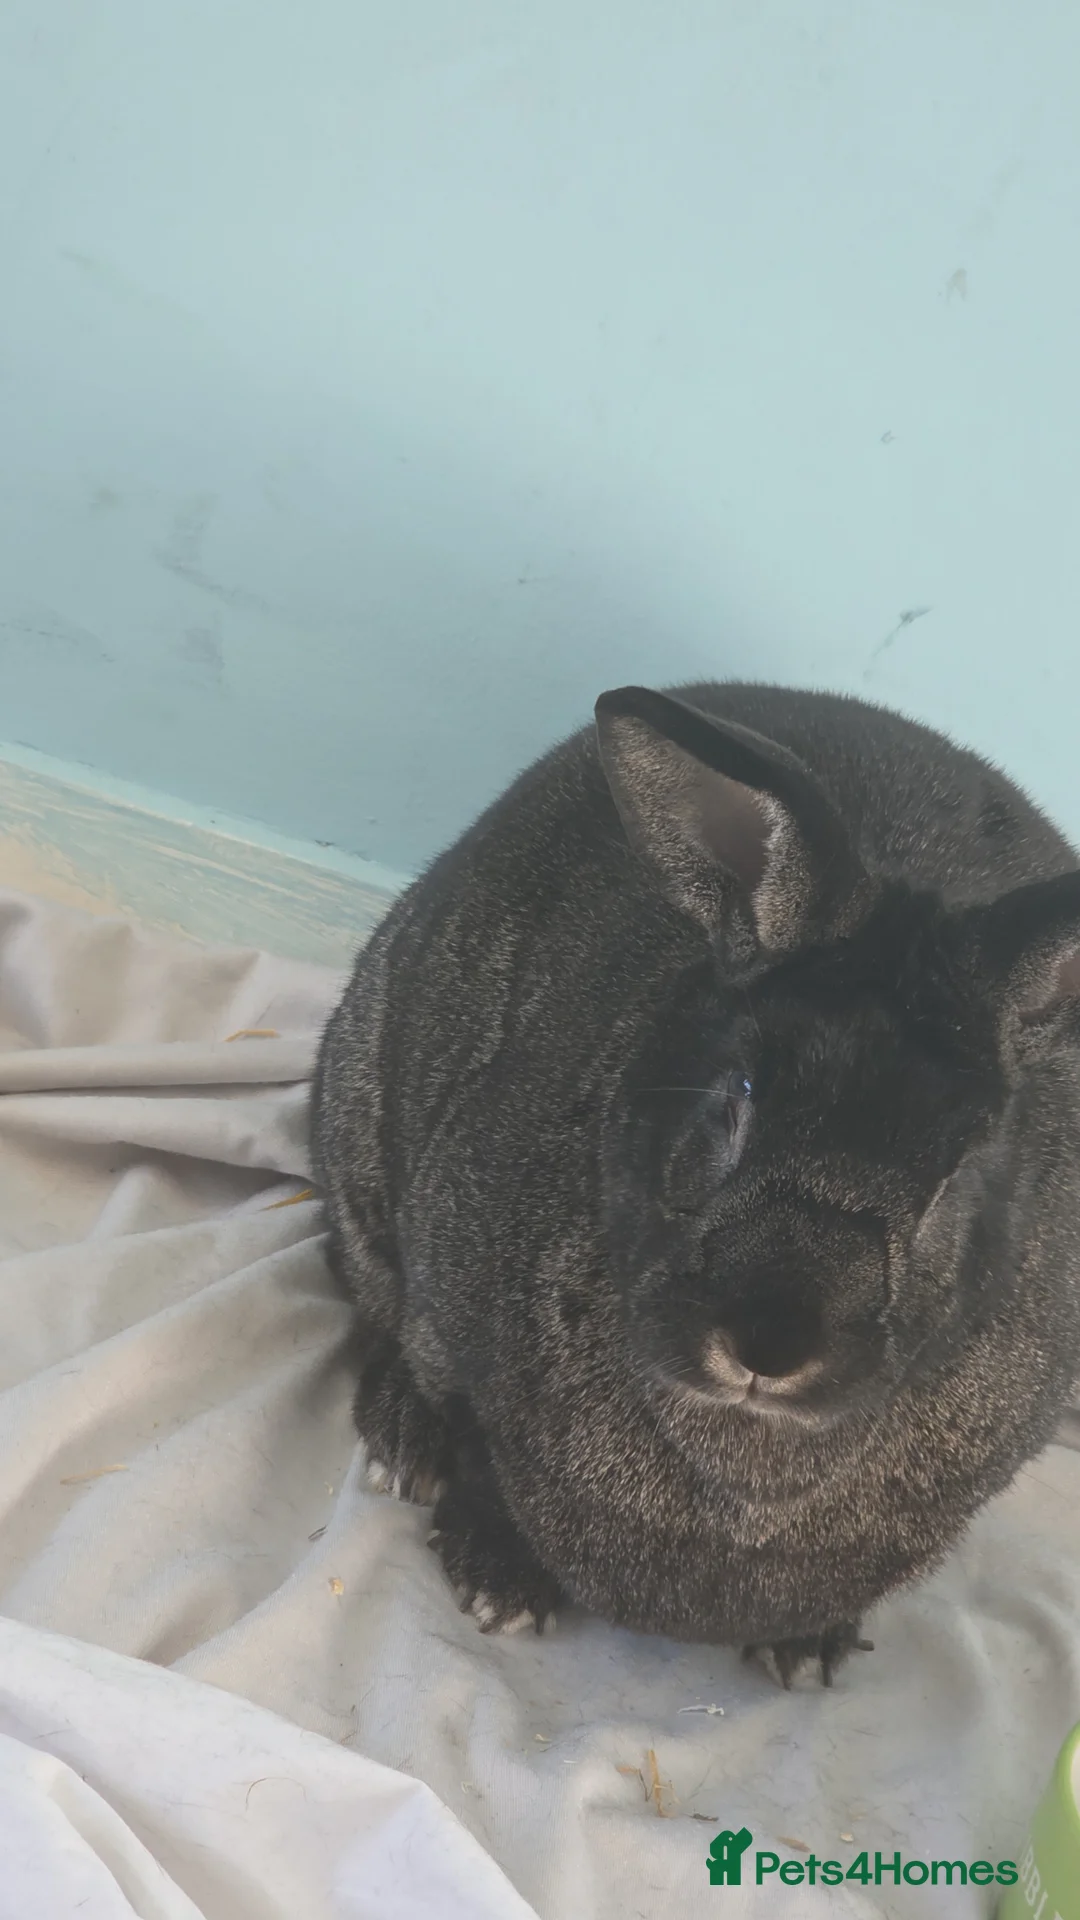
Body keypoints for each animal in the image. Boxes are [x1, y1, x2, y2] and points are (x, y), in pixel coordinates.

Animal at [312, 682, 1080, 1685]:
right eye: (735, 1099)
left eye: (958, 1171)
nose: (769, 1342)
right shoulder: (455, 1302)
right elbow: (478, 1445)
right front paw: (499, 1579)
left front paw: (808, 1653)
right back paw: (404, 1438)